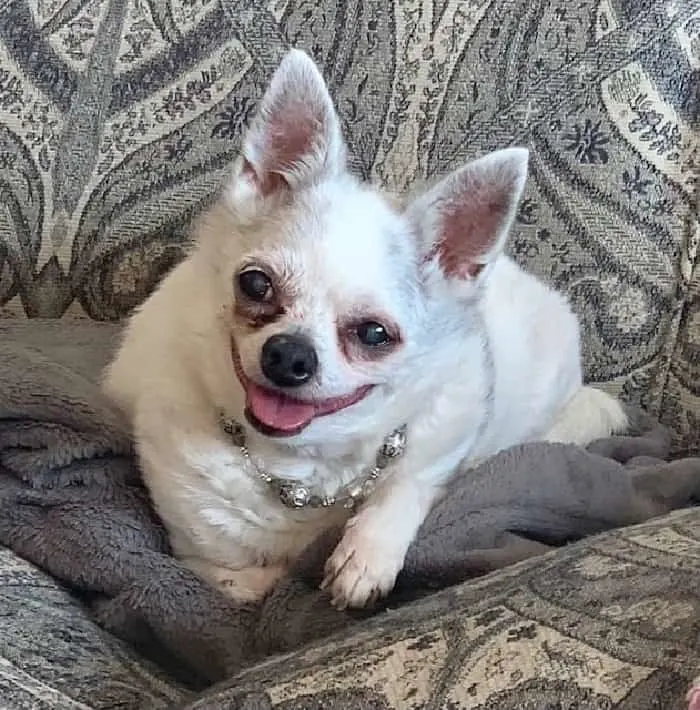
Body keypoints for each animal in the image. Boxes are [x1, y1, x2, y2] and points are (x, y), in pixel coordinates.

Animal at [102, 47, 628, 608]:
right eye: (255, 284)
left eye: (375, 334)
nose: (289, 354)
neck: (301, 463)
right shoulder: (197, 539)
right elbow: (234, 573)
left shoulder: (452, 419)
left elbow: (409, 481)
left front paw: (365, 555)